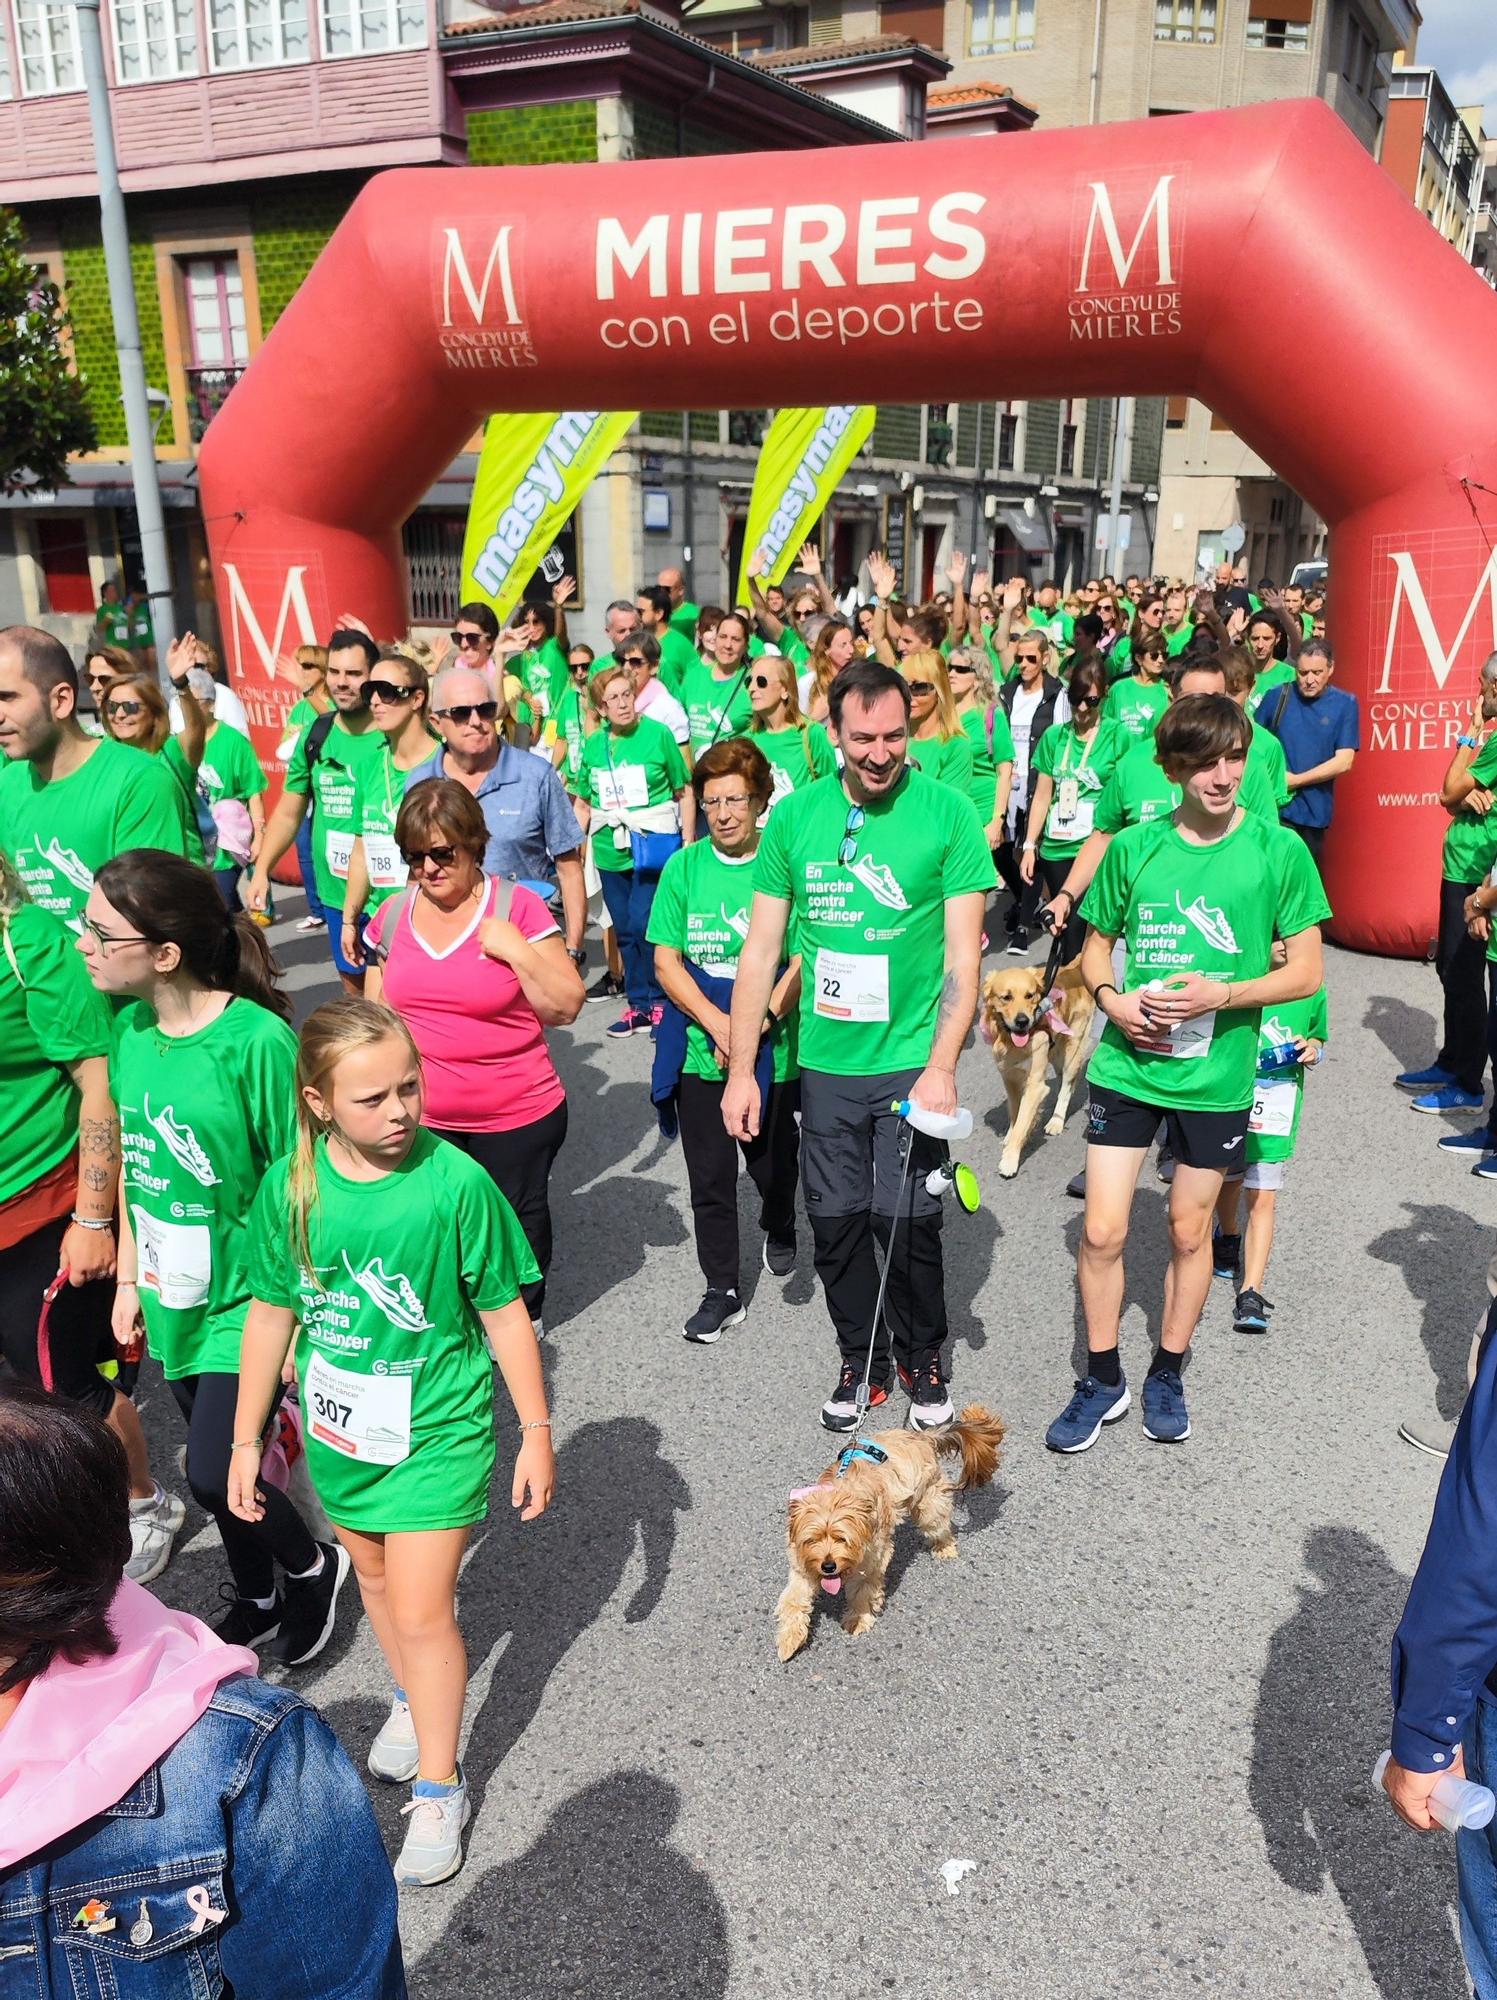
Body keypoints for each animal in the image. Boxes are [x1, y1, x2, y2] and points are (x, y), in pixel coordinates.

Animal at [772, 1400, 1004, 1664]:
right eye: (812, 1540)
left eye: (842, 1539)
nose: (828, 1567)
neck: (840, 1495)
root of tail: (923, 1437)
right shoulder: (802, 1567)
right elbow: (793, 1601)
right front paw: (789, 1640)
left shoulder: (872, 1558)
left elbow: (862, 1592)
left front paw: (858, 1619)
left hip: (928, 1503)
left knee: (939, 1524)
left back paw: (944, 1548)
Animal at [976, 952, 1096, 1168]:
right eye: (1006, 997)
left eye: (1029, 995)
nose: (1022, 1021)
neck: (1011, 1042)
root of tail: (1075, 966)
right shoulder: (1009, 1078)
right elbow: (1015, 1112)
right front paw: (1010, 1136)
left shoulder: (1034, 1085)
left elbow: (1023, 1119)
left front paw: (1010, 1159)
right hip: (1056, 1055)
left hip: (1072, 1049)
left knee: (1067, 1085)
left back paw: (1056, 1121)